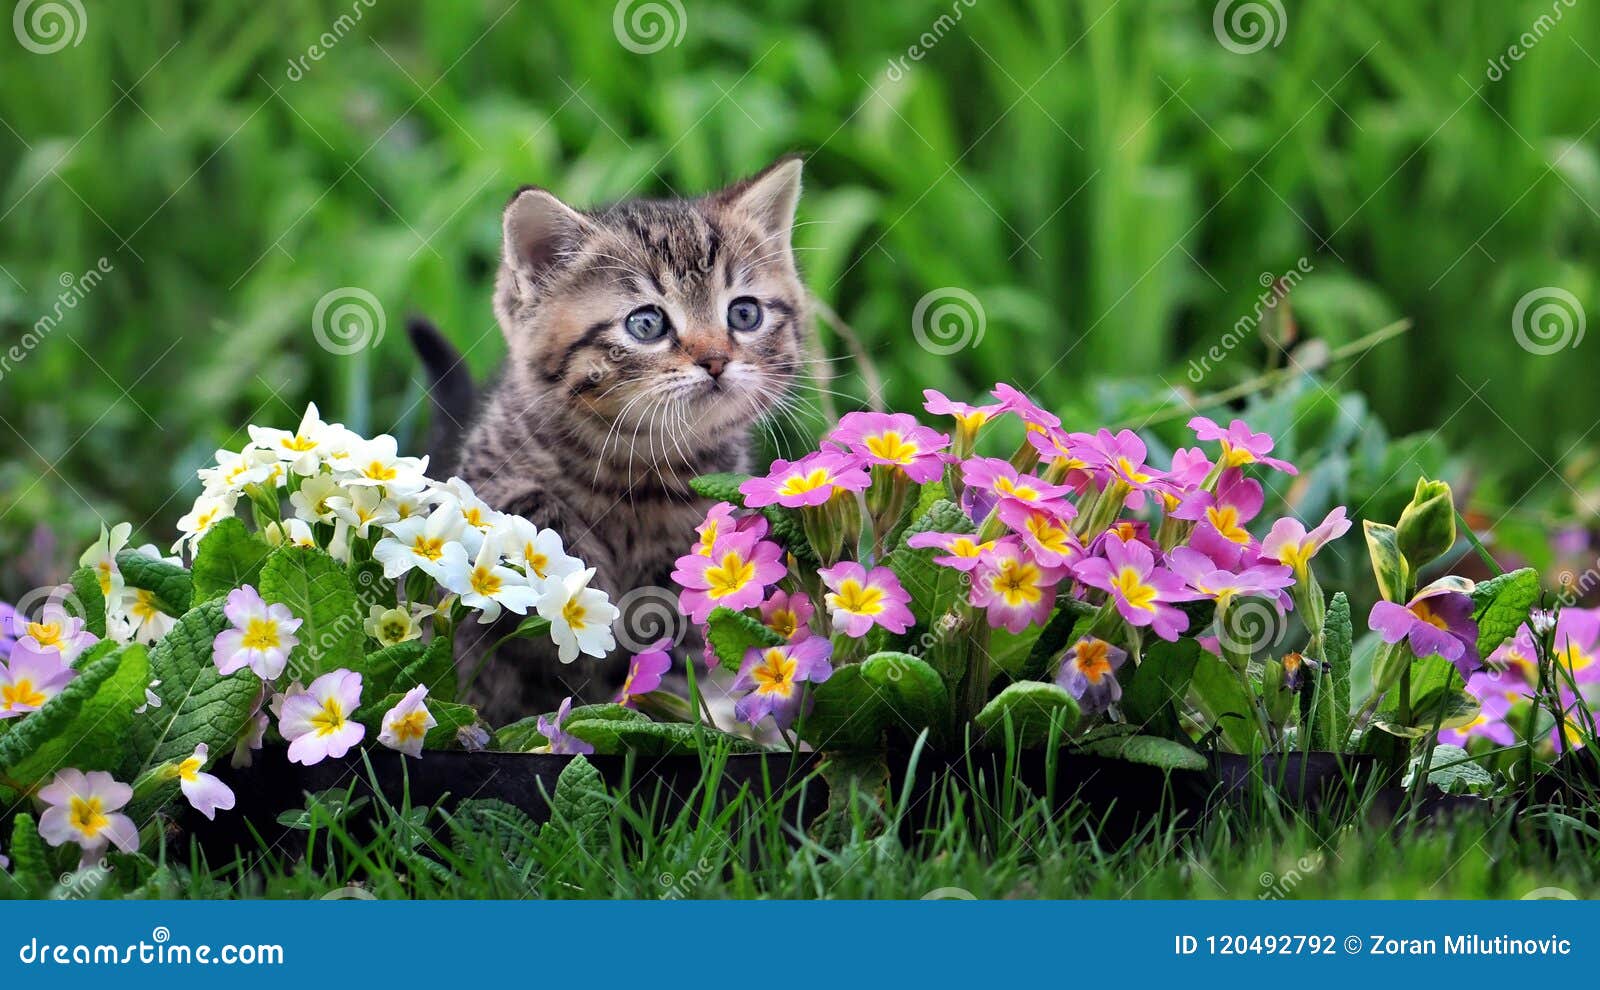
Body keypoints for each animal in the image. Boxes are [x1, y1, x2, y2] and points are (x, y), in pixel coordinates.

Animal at [416, 159, 806, 722]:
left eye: (744, 313)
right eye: (646, 323)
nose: (715, 360)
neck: (635, 465)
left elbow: (670, 662)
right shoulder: (480, 483)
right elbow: (522, 508)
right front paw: (584, 580)